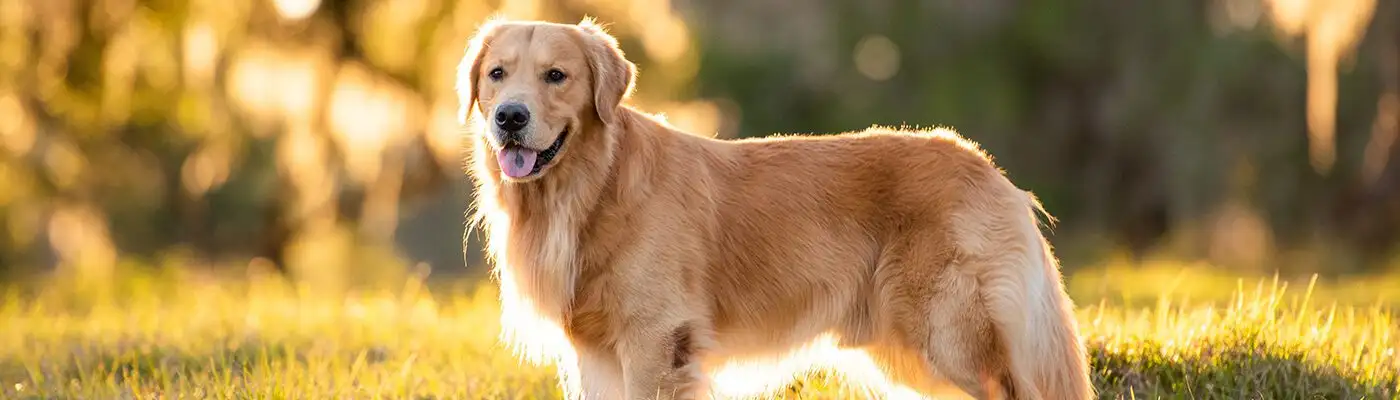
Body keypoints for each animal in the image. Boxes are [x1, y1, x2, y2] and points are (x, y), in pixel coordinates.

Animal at [459, 17, 1092, 397]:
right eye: (497, 75)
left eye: (556, 76)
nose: (510, 117)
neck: (590, 190)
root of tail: (989, 168)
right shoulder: (593, 352)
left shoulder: (655, 342)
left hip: (951, 338)